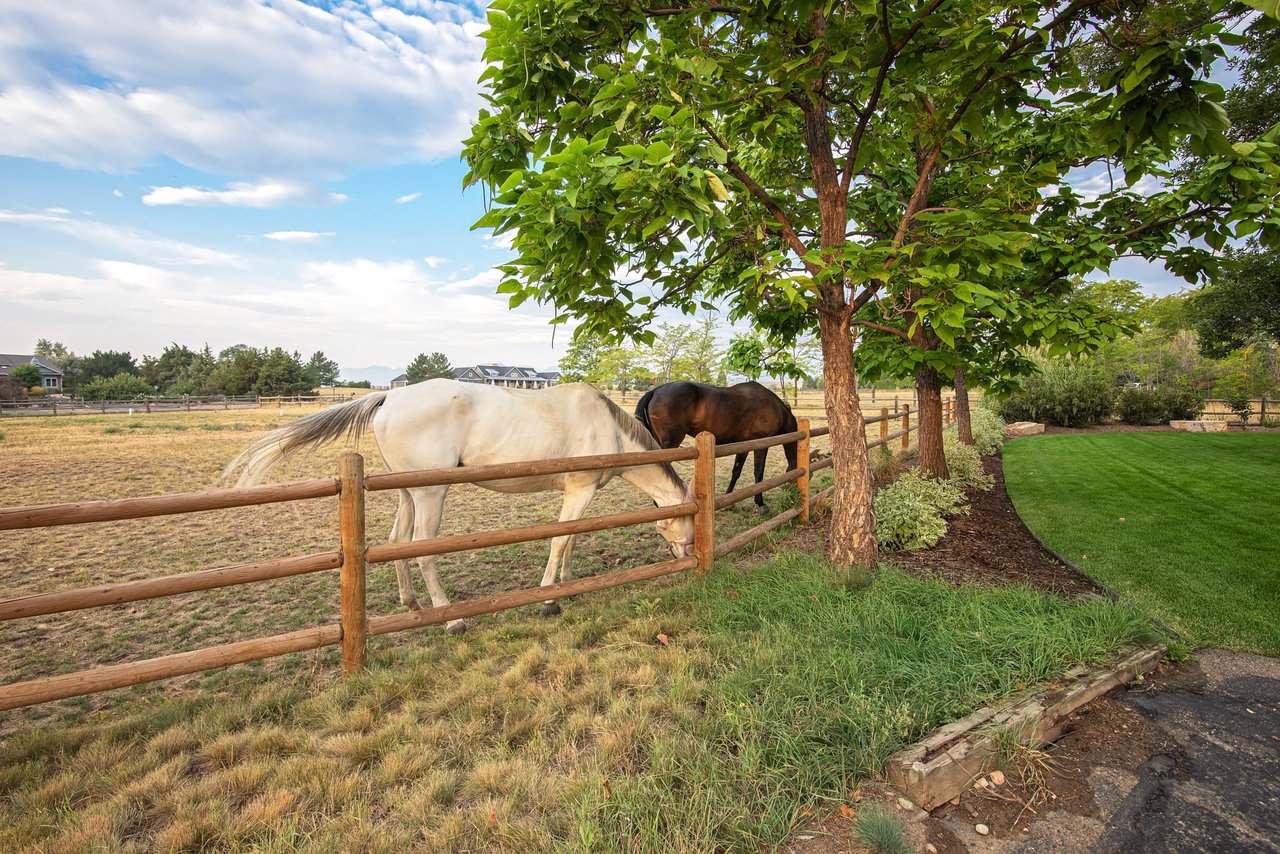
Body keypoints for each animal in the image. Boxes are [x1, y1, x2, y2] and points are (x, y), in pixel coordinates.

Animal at [225, 381, 696, 635]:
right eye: (690, 526)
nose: (687, 557)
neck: (607, 429)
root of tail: (389, 399)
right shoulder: (577, 491)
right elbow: (560, 539)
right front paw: (549, 599)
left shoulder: (585, 493)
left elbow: (573, 539)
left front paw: (568, 584)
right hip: (431, 495)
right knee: (423, 548)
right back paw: (450, 619)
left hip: (408, 493)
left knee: (398, 541)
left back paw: (413, 606)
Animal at [632, 381, 798, 514]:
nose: (793, 495)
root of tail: (655, 391)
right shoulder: (761, 443)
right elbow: (758, 472)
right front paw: (761, 503)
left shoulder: (743, 445)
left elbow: (736, 471)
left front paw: (729, 501)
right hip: (670, 444)